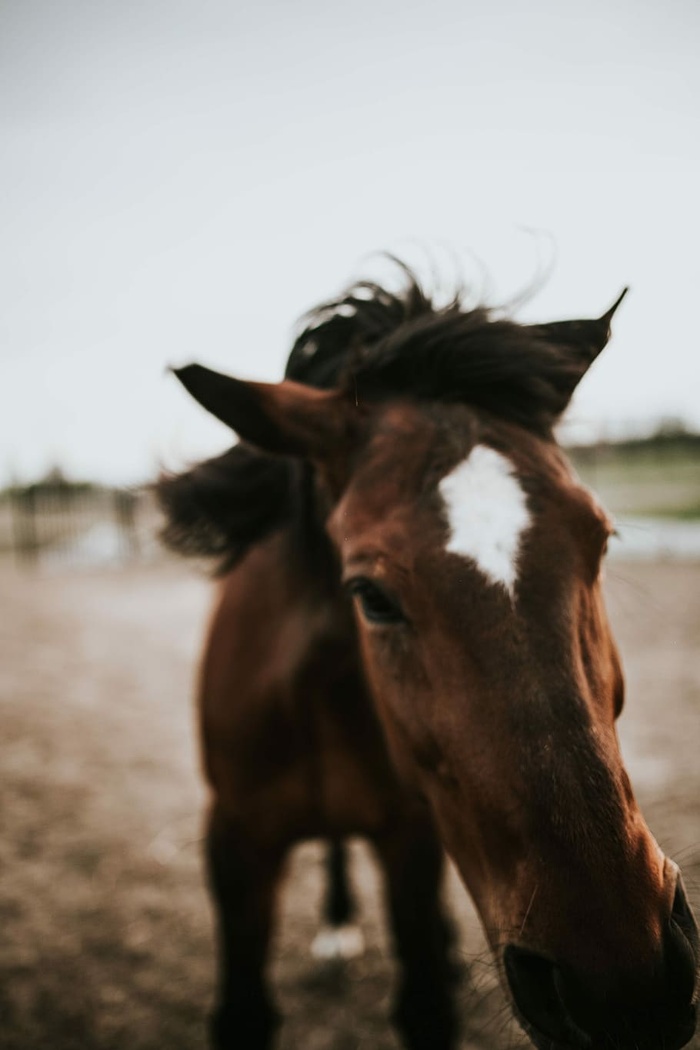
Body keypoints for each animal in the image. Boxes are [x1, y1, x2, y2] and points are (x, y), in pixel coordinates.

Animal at [158, 264, 700, 1050]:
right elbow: (244, 1015)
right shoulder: (234, 845)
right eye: (370, 595)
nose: (622, 980)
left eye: (600, 541)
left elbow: (423, 1002)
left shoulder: (409, 841)